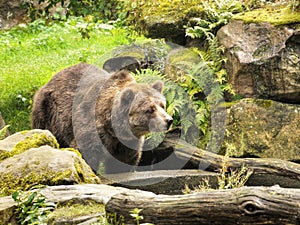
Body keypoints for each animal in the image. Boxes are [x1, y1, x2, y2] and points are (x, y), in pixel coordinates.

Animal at [31, 62, 172, 173]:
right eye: (150, 109)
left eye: (162, 106)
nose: (169, 120)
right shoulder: (91, 129)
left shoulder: (127, 144)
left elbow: (123, 163)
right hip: (49, 113)